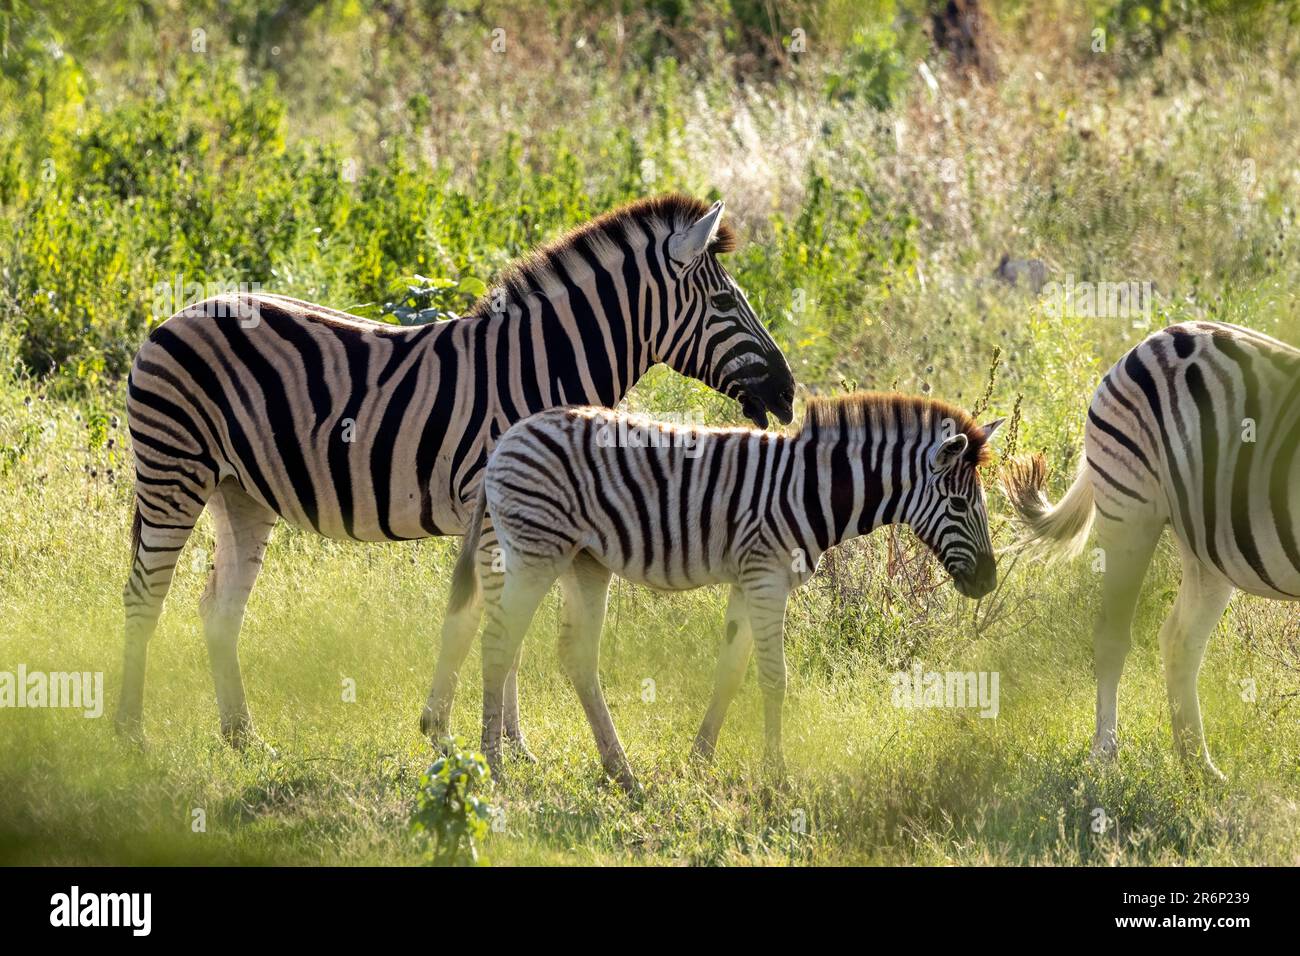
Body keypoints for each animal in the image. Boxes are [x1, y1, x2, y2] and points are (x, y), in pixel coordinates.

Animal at [122, 195, 795, 749]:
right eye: (724, 302)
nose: (788, 395)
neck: (541, 367)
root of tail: (173, 315)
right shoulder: (505, 510)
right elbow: (498, 622)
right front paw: (496, 743)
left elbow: (485, 620)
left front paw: (468, 734)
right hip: (173, 471)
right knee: (143, 595)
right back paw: (132, 738)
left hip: (241, 494)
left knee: (219, 610)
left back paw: (242, 738)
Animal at [449, 392, 1003, 790]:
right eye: (959, 505)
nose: (988, 582)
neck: (810, 491)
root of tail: (507, 438)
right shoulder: (766, 576)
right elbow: (774, 678)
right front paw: (777, 776)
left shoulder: (746, 580)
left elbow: (730, 673)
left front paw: (699, 761)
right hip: (536, 551)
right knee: (498, 644)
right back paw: (495, 770)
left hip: (583, 562)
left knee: (574, 654)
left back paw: (622, 774)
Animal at [1003, 321, 1300, 780]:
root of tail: (1158, 335)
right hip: (1129, 508)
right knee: (1112, 636)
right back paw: (1105, 757)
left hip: (1208, 543)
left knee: (1180, 640)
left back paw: (1198, 768)